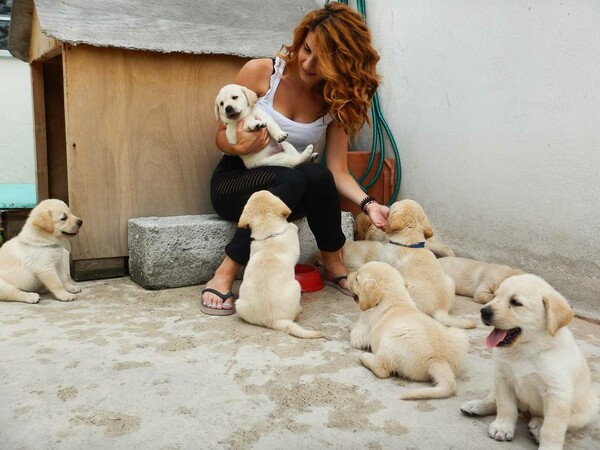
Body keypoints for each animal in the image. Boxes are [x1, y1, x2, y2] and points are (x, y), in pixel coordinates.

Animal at [234, 189, 324, 338]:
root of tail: (272, 320)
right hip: (296, 286)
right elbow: (290, 228)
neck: (269, 233)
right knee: (294, 316)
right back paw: (299, 310)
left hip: (239, 304)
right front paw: (292, 225)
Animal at [346, 262, 468, 400]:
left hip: (392, 340)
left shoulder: (364, 325)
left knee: (383, 368)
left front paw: (351, 326)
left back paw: (365, 357)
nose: (346, 276)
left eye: (357, 279)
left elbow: (356, 333)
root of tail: (439, 360)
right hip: (459, 335)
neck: (393, 298)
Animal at [462, 272, 596, 448]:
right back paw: (476, 405)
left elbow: (552, 428)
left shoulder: (558, 393)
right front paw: (502, 428)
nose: (483, 311)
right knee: (494, 399)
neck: (527, 348)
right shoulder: (503, 378)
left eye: (515, 302)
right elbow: (505, 406)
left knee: (551, 420)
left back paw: (537, 426)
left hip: (587, 409)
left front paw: (548, 446)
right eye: (495, 296)